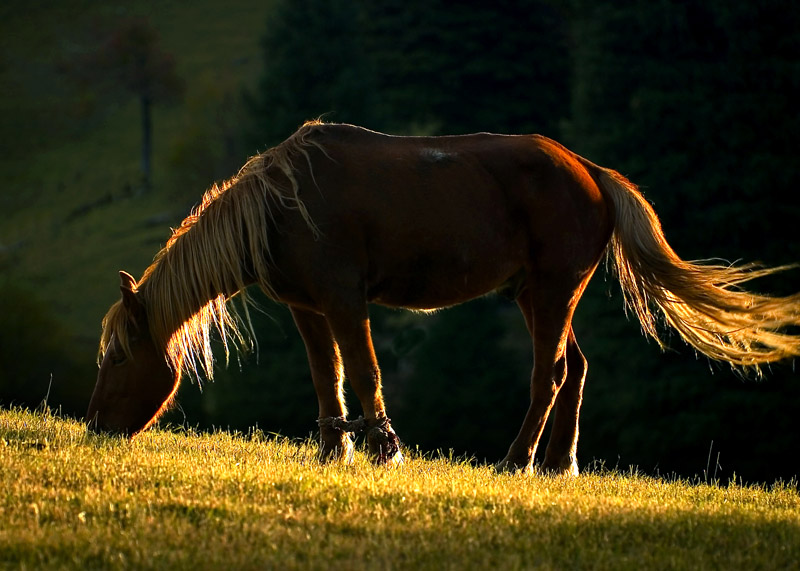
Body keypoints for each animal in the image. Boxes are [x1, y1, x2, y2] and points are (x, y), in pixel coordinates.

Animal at [86, 119, 800, 474]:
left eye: (117, 357)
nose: (92, 425)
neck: (280, 205)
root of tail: (592, 173)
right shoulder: (308, 309)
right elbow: (327, 378)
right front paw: (333, 450)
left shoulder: (343, 301)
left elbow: (364, 373)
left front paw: (384, 450)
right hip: (535, 295)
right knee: (573, 369)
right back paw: (560, 463)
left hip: (553, 290)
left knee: (548, 375)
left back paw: (517, 461)